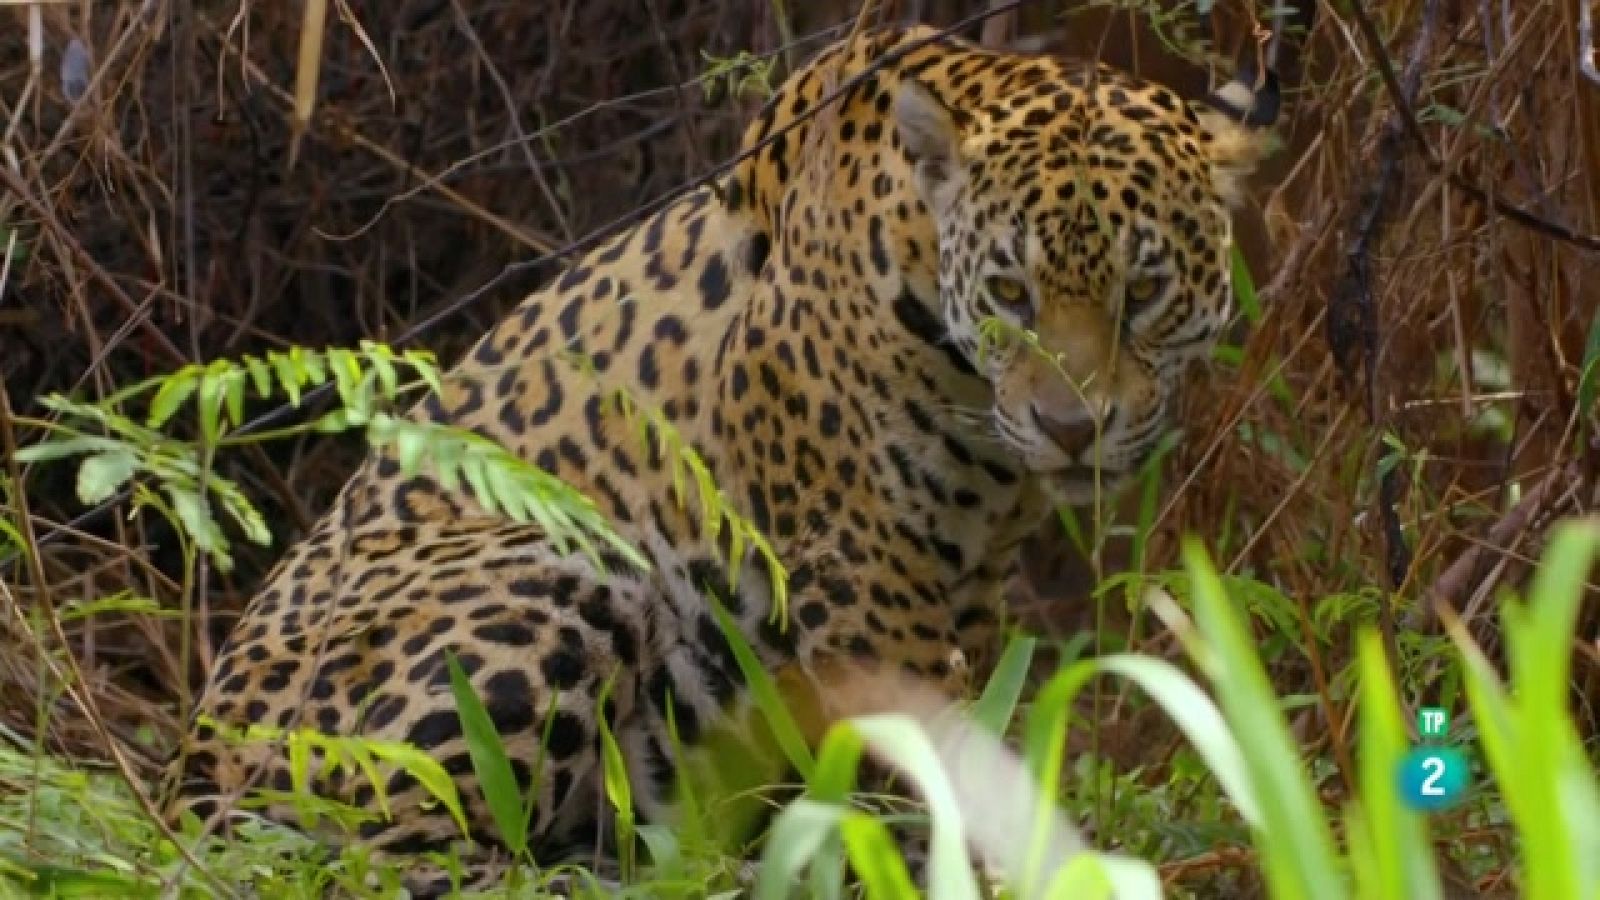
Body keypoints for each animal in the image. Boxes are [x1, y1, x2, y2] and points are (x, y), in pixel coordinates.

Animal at [164, 22, 1279, 894]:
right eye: (1012, 294)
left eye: (1143, 293)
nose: (1070, 426)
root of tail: (186, 771)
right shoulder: (867, 571)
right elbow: (932, 761)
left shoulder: (964, 579)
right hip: (554, 561)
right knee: (370, 852)